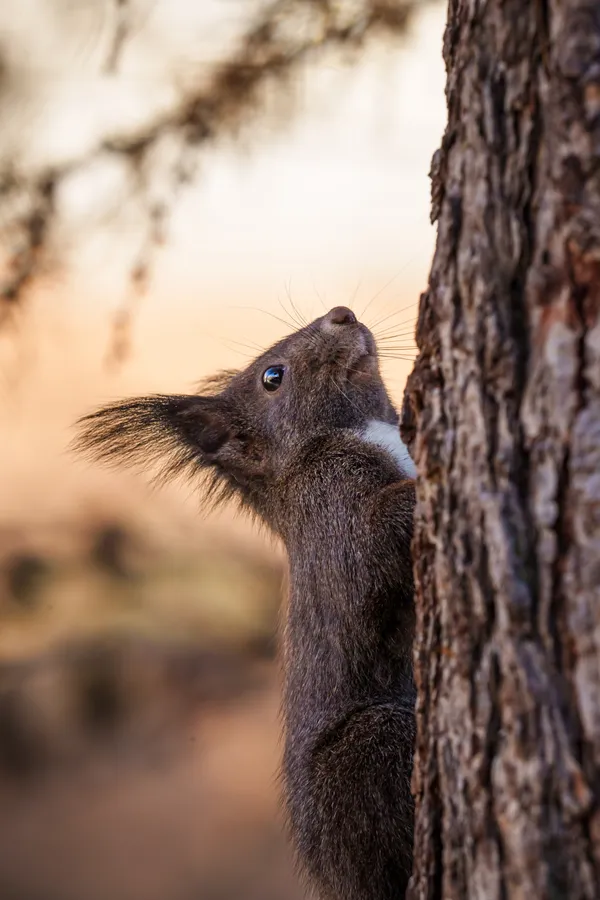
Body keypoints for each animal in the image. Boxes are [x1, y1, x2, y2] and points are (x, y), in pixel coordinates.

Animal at [75, 305, 417, 900]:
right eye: (272, 377)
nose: (341, 314)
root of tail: (336, 879)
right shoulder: (332, 510)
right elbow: (372, 554)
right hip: (366, 751)